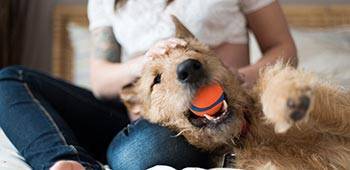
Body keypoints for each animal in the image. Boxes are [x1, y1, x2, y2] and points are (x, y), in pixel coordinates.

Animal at [120, 16, 350, 169]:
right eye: (156, 80)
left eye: (194, 50)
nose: (189, 68)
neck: (239, 139)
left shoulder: (342, 113)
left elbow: (270, 80)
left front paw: (286, 95)